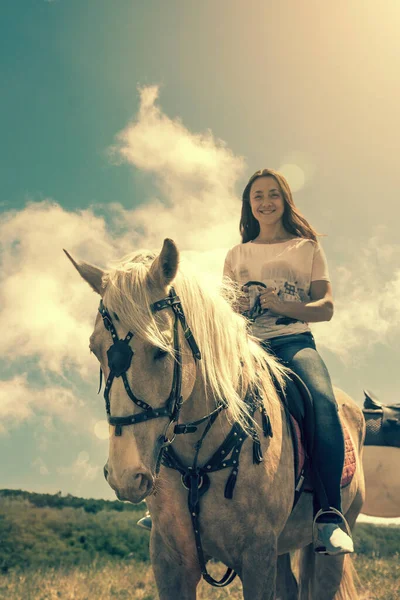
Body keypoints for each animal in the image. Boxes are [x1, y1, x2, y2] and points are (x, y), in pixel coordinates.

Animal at [67, 240, 364, 600]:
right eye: (95, 350)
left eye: (161, 350)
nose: (125, 476)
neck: (198, 461)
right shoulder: (170, 561)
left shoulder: (257, 558)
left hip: (329, 548)